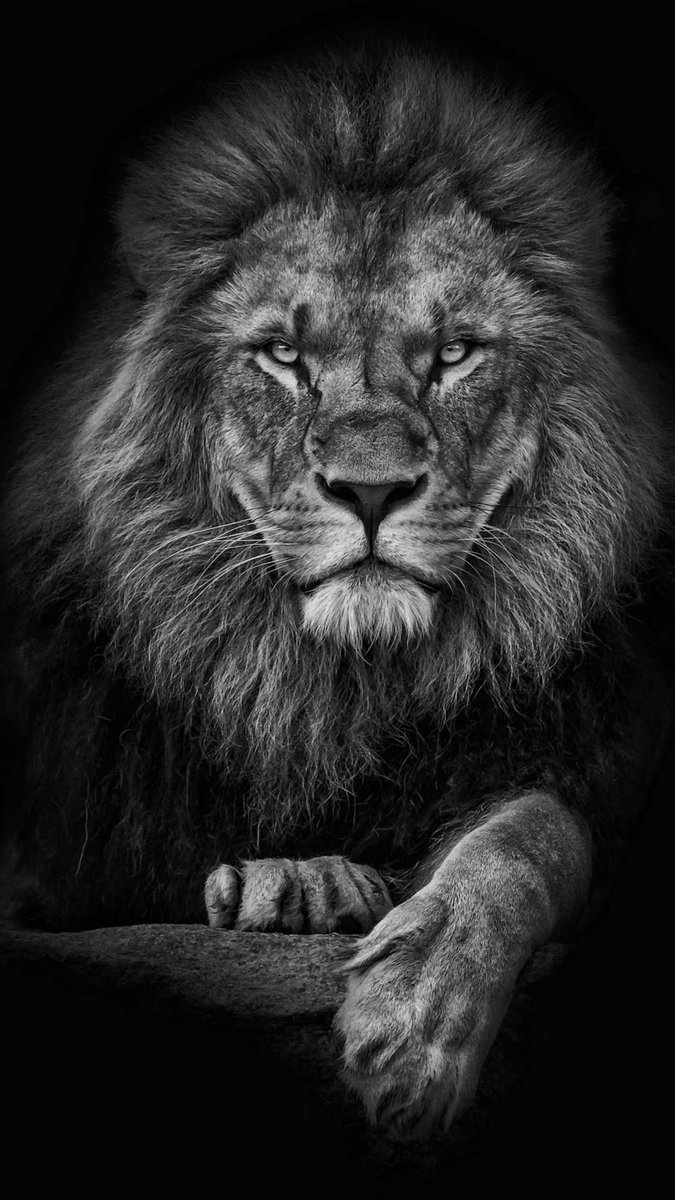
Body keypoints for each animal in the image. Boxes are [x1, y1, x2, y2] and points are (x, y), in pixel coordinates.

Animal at [1, 34, 673, 1141]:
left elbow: (530, 834)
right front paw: (299, 882)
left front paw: (418, 1017)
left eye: (453, 354)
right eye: (283, 355)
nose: (369, 489)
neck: (331, 688)